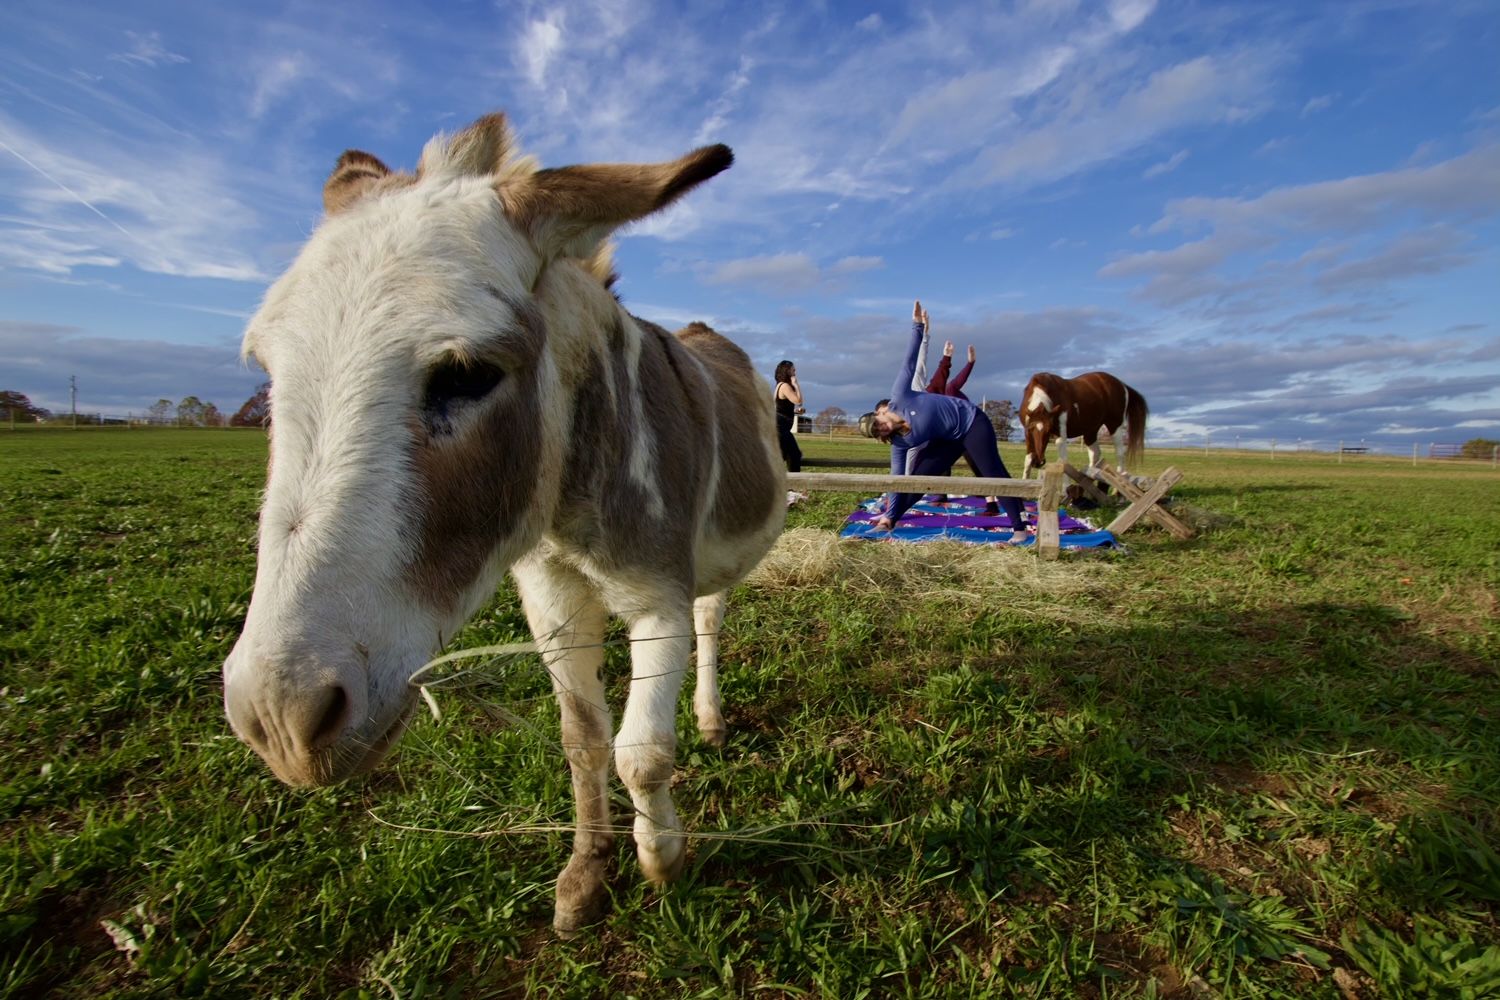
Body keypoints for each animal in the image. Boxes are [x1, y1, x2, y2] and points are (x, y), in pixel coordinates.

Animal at [220, 112, 787, 936]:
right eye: (267, 371)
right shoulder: (550, 600)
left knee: (711, 619)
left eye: (467, 375)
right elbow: (583, 740)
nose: (279, 720)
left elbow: (641, 750)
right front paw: (586, 873)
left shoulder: (659, 597)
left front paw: (663, 862)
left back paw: (709, 718)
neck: (571, 503)